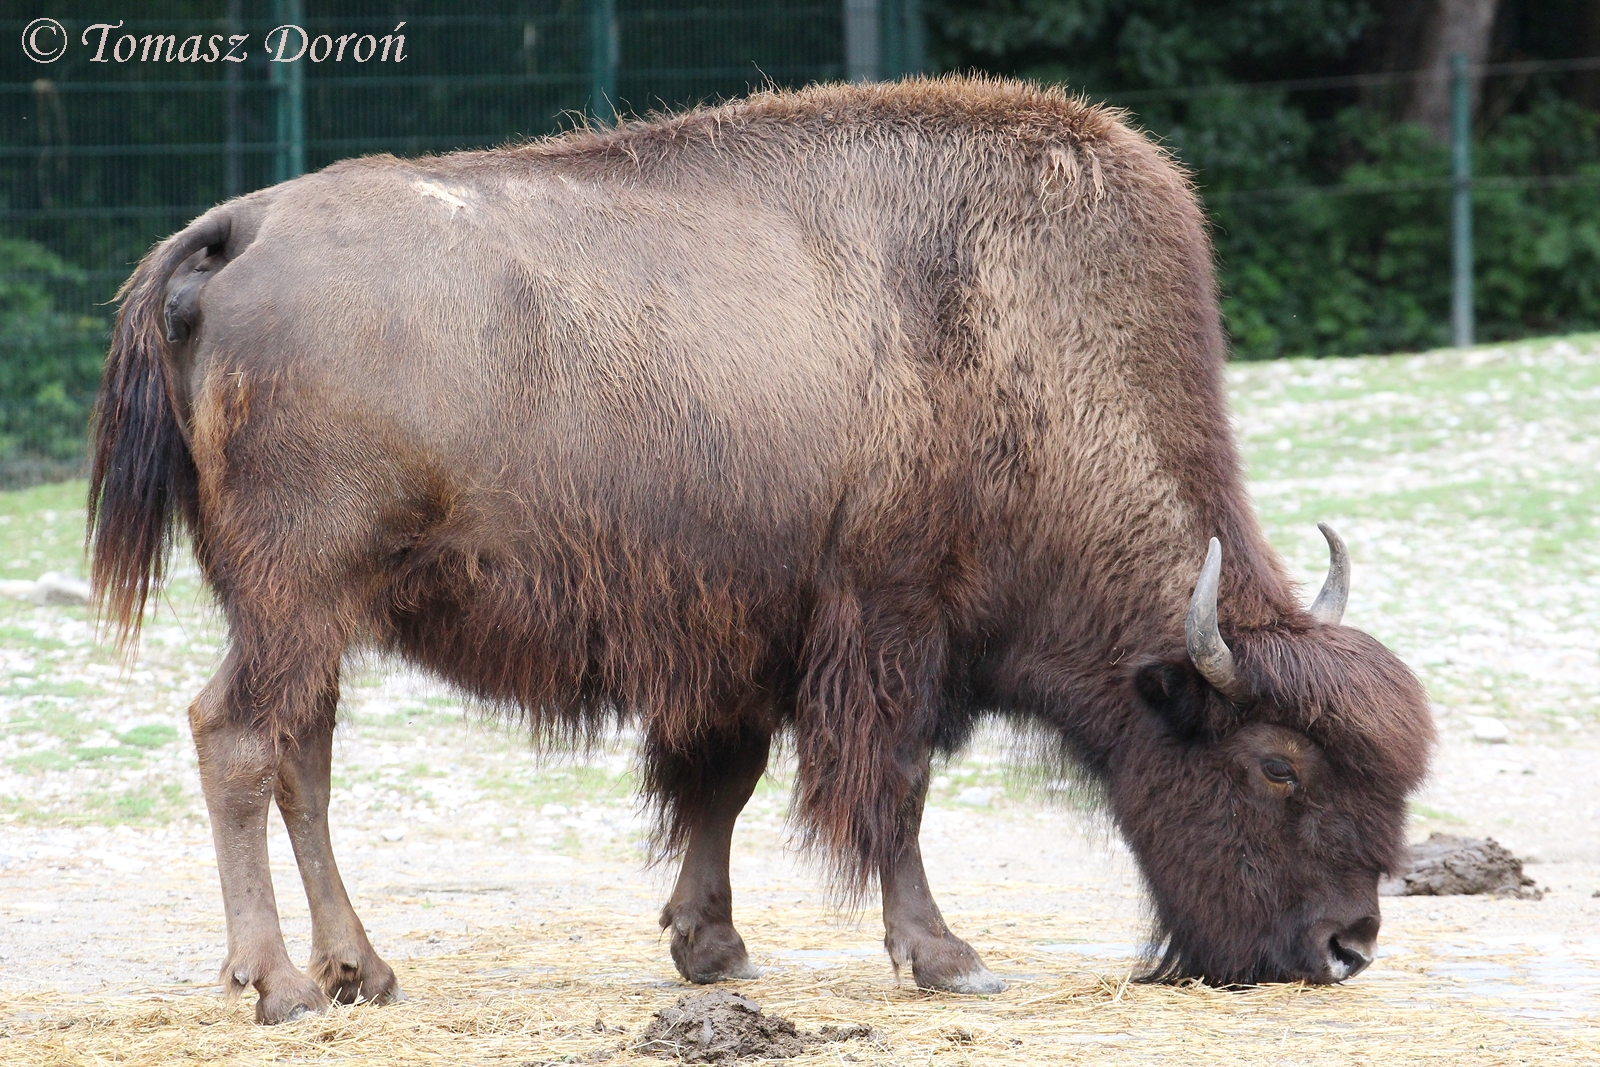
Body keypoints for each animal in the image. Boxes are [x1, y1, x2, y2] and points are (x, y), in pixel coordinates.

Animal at [90, 76, 1432, 1024]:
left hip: (309, 614)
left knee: (301, 758)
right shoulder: (889, 628)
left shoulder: (747, 640)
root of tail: (235, 228)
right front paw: (947, 957)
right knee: (237, 738)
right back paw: (282, 985)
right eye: (1276, 764)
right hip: (299, 595)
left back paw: (362, 969)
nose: (1346, 945)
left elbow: (718, 787)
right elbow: (892, 792)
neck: (1016, 348)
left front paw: (712, 945)